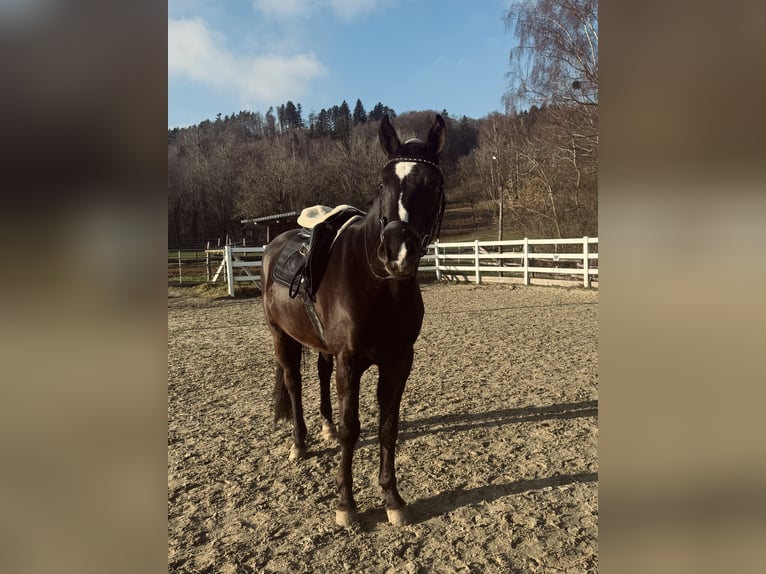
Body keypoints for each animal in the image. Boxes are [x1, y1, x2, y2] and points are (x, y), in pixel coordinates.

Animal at [261, 114, 446, 527]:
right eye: (382, 183)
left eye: (433, 185)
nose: (398, 253)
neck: (378, 286)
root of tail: (273, 245)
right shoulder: (350, 362)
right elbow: (352, 430)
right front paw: (346, 505)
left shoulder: (398, 362)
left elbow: (388, 427)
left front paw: (393, 499)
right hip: (281, 336)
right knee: (294, 383)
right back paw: (299, 443)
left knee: (320, 374)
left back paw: (324, 427)